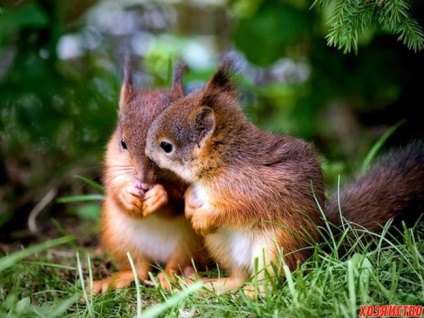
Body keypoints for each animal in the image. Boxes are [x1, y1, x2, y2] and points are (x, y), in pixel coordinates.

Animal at [91, 57, 209, 294]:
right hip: (120, 239)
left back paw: (171, 278)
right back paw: (115, 280)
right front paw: (126, 194)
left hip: (190, 242)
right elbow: (114, 191)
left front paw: (159, 195)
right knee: (139, 268)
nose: (144, 181)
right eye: (123, 143)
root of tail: (157, 257)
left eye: (167, 146)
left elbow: (178, 201)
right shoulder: (111, 168)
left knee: (177, 263)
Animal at [144, 59, 422, 296]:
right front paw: (190, 207)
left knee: (271, 280)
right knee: (239, 277)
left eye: (166, 146)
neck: (221, 164)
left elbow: (234, 210)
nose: (145, 152)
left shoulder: (248, 189)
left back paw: (255, 292)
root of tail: (319, 243)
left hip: (275, 246)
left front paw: (202, 218)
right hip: (220, 245)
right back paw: (211, 284)